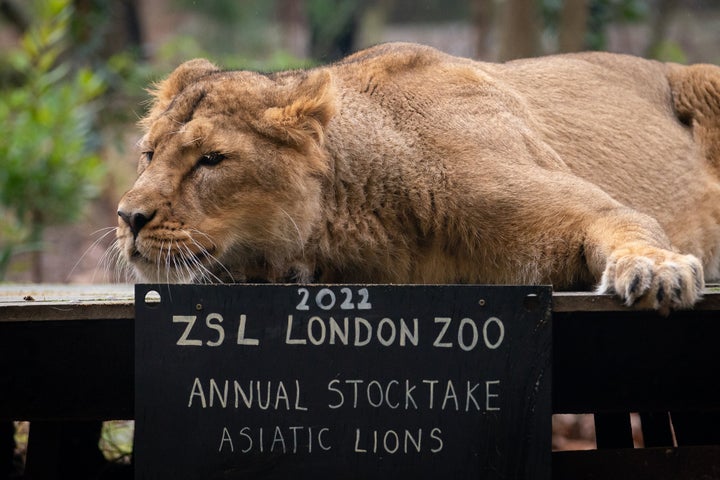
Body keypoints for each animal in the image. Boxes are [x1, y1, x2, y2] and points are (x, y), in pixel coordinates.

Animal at [115, 43, 716, 314]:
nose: (128, 218)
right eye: (148, 155)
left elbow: (630, 225)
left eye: (211, 160)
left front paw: (657, 271)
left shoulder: (592, 208)